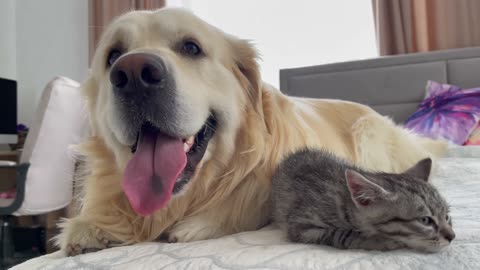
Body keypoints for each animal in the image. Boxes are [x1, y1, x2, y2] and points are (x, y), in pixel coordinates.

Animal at [272, 148, 456, 253]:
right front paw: (375, 240)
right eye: (425, 220)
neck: (344, 201)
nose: (452, 237)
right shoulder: (299, 225)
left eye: (447, 216)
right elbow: (338, 233)